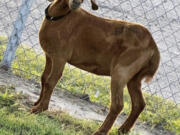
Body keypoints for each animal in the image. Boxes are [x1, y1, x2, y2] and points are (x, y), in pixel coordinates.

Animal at [31, 0, 160, 134]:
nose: (76, 3)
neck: (59, 16)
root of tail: (153, 46)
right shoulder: (49, 55)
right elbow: (44, 78)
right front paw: (37, 102)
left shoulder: (60, 58)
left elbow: (50, 81)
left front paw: (40, 109)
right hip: (134, 78)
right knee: (139, 103)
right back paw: (123, 129)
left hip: (121, 72)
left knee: (118, 104)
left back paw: (101, 131)